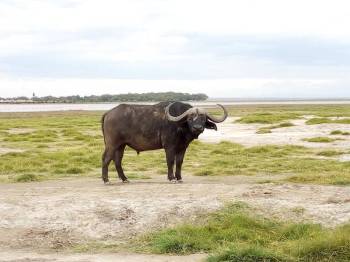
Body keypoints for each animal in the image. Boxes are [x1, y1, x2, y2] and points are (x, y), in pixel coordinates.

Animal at [100, 101, 228, 183]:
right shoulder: (169, 147)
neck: (180, 126)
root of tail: (108, 113)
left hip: (121, 145)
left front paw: (179, 177)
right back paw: (106, 180)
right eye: (190, 118)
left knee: (117, 160)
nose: (198, 128)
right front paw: (172, 178)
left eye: (203, 118)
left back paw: (124, 179)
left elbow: (179, 162)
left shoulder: (183, 147)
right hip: (112, 144)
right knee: (106, 158)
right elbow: (170, 161)